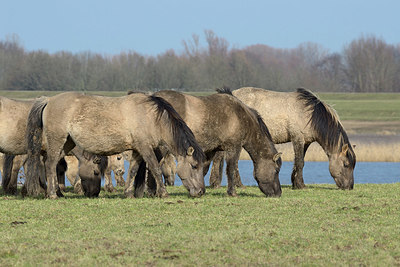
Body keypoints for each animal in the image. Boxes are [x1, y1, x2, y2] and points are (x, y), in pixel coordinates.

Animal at [24, 92, 206, 199]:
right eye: (194, 166)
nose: (201, 191)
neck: (151, 116)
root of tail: (48, 100)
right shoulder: (146, 148)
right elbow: (155, 168)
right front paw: (163, 192)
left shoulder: (137, 150)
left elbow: (132, 170)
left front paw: (128, 193)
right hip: (57, 140)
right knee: (50, 164)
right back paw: (52, 194)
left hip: (67, 143)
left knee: (51, 164)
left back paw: (57, 192)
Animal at [148, 89, 284, 198]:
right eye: (277, 170)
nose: (278, 193)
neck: (239, 116)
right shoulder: (233, 148)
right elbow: (231, 169)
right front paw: (232, 192)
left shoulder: (211, 150)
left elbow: (204, 169)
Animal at [211, 88, 354, 191]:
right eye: (346, 164)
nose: (349, 187)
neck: (310, 114)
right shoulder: (297, 139)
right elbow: (300, 162)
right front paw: (301, 185)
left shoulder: (305, 142)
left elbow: (299, 161)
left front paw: (295, 183)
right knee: (223, 159)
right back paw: (223, 184)